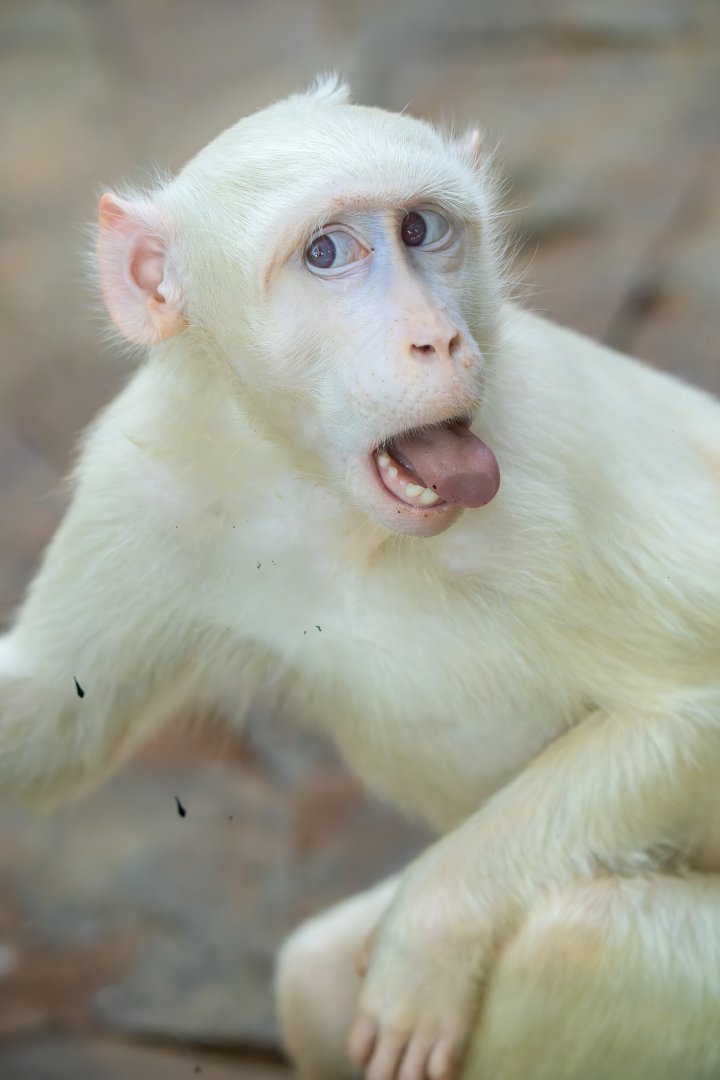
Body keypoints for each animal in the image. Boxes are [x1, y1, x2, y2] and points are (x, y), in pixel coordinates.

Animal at [1, 74, 719, 1080]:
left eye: (422, 229)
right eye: (328, 253)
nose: (438, 340)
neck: (330, 501)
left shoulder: (555, 474)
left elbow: (694, 711)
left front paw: (431, 935)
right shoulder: (143, 482)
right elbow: (47, 729)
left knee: (577, 944)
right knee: (312, 982)